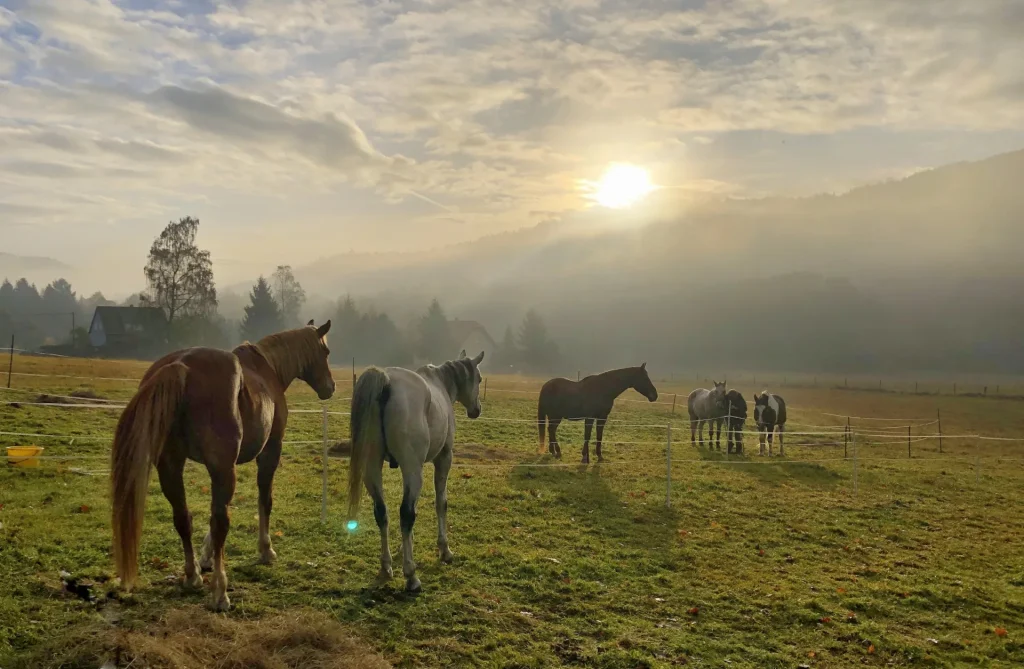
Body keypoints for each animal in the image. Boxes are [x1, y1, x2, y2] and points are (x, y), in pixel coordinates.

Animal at [111, 321, 335, 606]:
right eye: (325, 352)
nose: (331, 387)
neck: (268, 369)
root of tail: (182, 366)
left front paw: (205, 558)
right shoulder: (268, 453)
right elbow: (264, 501)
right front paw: (266, 549)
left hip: (173, 466)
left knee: (183, 517)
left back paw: (192, 576)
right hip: (221, 468)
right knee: (220, 522)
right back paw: (220, 590)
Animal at [348, 350, 483, 590]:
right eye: (480, 379)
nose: (477, 409)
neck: (440, 385)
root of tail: (386, 382)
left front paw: (405, 547)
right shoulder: (443, 459)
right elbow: (441, 503)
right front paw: (444, 550)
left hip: (372, 469)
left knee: (382, 512)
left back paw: (386, 566)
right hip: (412, 469)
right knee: (406, 514)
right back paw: (411, 576)